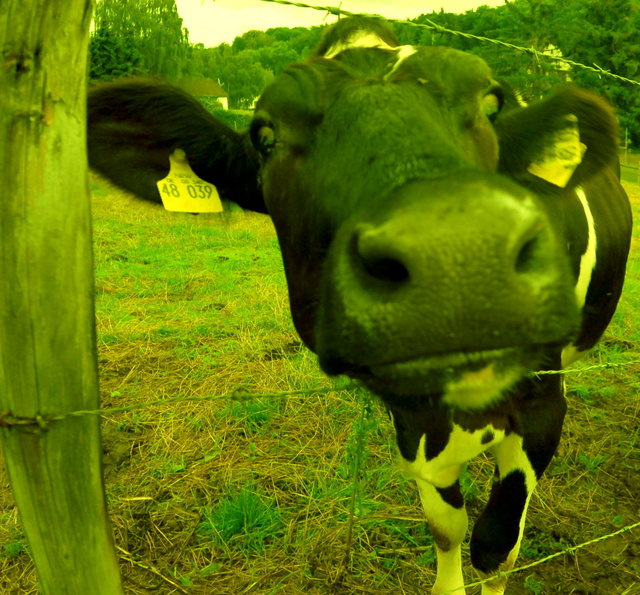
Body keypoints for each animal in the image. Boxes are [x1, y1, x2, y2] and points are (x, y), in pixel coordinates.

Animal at [87, 17, 632, 595]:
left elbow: (496, 545)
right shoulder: (413, 424)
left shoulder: (543, 403)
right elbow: (447, 525)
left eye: (490, 104)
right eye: (265, 136)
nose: (456, 256)